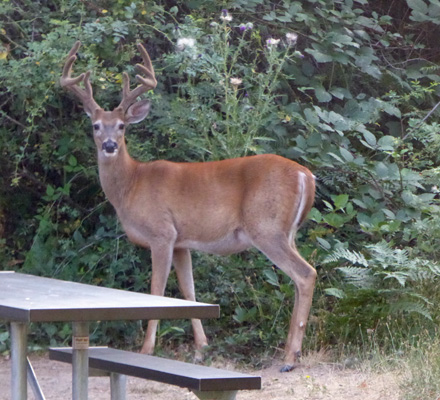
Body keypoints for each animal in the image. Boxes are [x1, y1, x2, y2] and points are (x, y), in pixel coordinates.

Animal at [61, 40, 316, 372]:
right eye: (95, 126)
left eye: (121, 126)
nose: (109, 145)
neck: (131, 184)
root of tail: (306, 175)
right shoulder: (182, 242)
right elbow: (189, 291)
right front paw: (201, 349)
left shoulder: (162, 233)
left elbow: (156, 290)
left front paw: (147, 349)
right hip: (287, 232)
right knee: (299, 279)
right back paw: (289, 351)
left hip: (267, 227)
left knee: (306, 274)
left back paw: (289, 358)